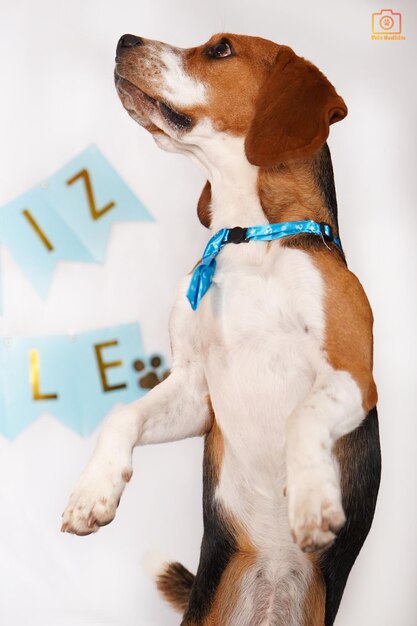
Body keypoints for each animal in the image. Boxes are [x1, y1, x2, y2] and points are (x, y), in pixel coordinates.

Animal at [61, 35, 380, 624]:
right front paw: (93, 492)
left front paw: (312, 496)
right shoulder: (195, 393)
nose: (124, 40)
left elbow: (303, 414)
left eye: (221, 49)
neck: (247, 235)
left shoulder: (353, 373)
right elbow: (122, 416)